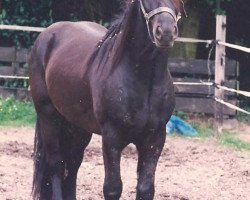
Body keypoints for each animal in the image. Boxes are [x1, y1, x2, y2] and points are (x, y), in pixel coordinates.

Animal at [29, 0, 184, 199]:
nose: (165, 32)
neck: (143, 78)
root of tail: (46, 36)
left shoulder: (154, 139)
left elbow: (145, 188)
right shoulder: (112, 138)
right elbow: (112, 188)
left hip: (78, 126)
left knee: (72, 164)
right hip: (49, 117)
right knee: (56, 165)